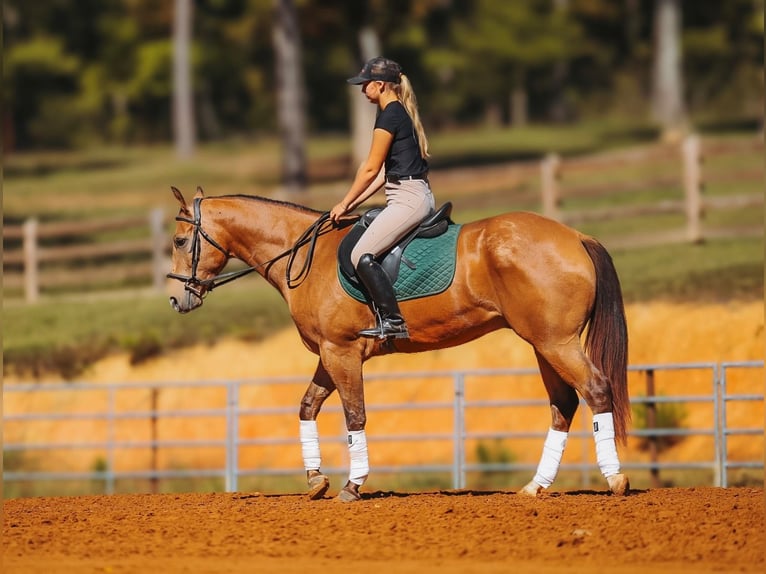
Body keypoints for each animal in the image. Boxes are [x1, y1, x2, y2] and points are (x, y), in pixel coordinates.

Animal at [167, 186, 631, 501]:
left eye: (178, 241)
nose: (176, 299)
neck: (306, 255)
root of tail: (576, 237)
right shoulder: (329, 354)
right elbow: (307, 407)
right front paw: (316, 480)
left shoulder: (341, 352)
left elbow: (354, 416)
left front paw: (353, 485)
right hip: (543, 344)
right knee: (563, 405)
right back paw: (535, 486)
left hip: (556, 343)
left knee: (595, 390)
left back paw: (615, 479)